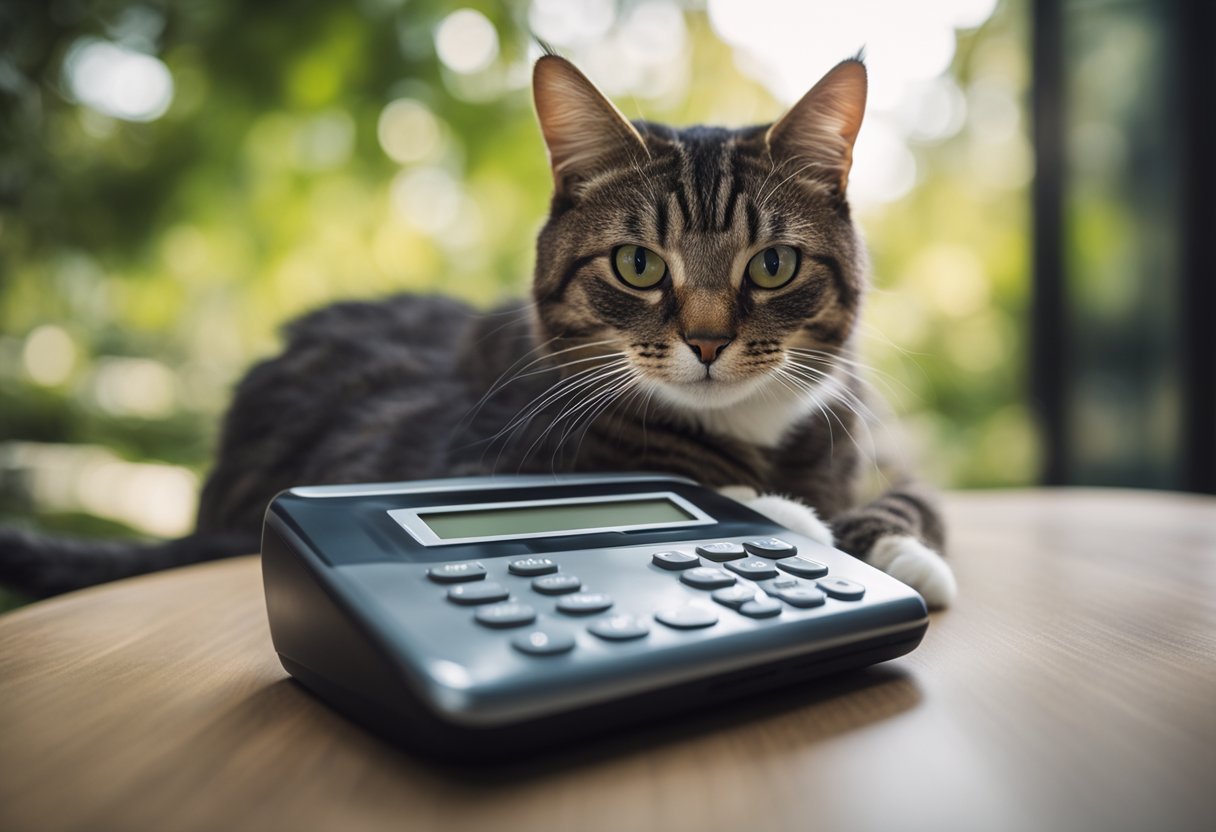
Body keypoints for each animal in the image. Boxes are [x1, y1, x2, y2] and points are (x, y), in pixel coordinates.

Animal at [0, 55, 953, 608]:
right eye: (638, 264)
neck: (745, 432)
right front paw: (795, 519)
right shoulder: (468, 455)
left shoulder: (872, 445)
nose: (710, 343)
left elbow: (917, 496)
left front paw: (899, 547)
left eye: (774, 265)